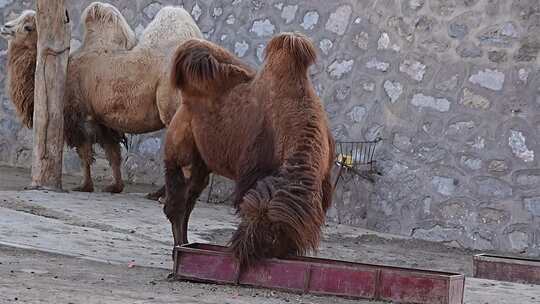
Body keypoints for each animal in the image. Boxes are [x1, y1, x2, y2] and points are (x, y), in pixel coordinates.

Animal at [2, 3, 201, 194]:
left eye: (27, 27)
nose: (5, 26)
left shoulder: (78, 116)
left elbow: (85, 154)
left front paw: (85, 186)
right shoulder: (104, 121)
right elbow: (113, 154)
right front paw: (115, 187)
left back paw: (165, 196)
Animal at [166, 32, 334, 266]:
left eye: (276, 237)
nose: (244, 251)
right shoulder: (252, 171)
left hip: (202, 162)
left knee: (190, 197)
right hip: (181, 149)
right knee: (177, 202)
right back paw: (178, 249)